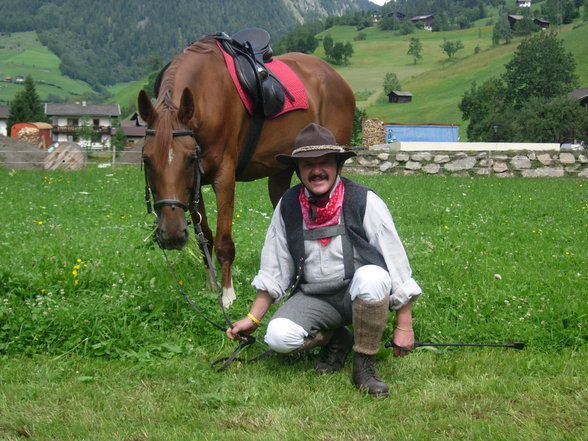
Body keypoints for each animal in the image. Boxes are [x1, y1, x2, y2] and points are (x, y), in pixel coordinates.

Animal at [138, 34, 356, 308]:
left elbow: (223, 241)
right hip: (281, 170)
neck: (205, 96)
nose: (172, 235)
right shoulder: (194, 185)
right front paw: (212, 285)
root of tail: (335, 77)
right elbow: (204, 237)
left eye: (189, 158)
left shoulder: (223, 176)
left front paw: (228, 294)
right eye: (147, 160)